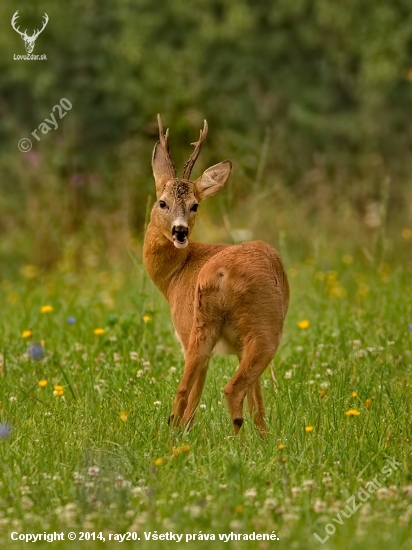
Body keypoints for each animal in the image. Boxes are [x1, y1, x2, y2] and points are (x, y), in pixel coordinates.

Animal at [143, 115, 288, 436]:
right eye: (162, 202)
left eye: (195, 205)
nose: (180, 231)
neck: (175, 276)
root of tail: (218, 274)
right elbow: (255, 398)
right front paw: (264, 436)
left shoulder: (186, 329)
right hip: (249, 326)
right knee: (233, 390)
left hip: (221, 325)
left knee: (197, 390)